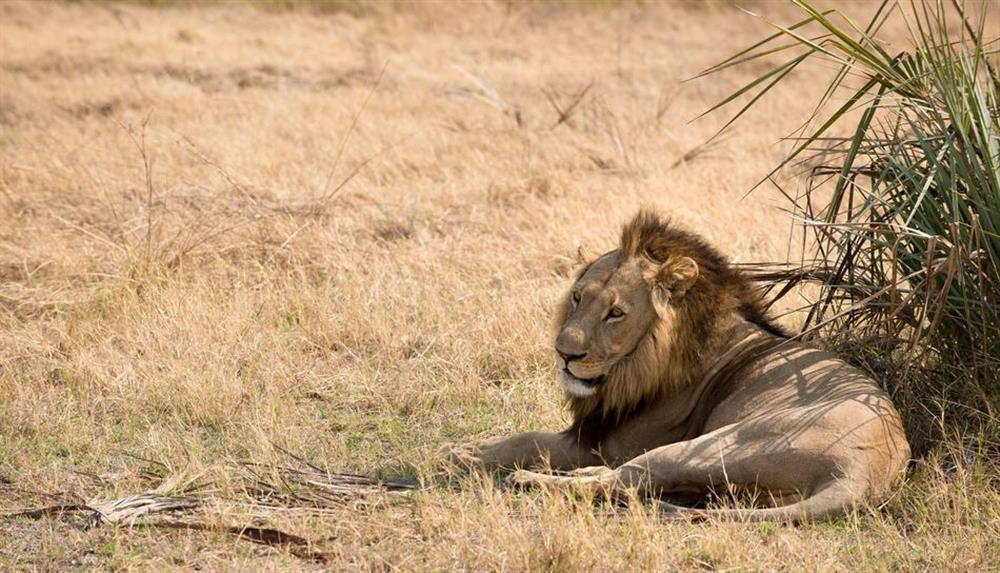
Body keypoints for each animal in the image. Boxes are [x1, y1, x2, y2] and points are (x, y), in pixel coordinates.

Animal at [450, 211, 912, 524]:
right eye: (578, 297)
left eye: (616, 313)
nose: (565, 354)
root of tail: (864, 474)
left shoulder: (610, 442)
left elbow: (534, 439)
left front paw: (470, 452)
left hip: (714, 445)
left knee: (625, 479)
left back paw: (529, 481)